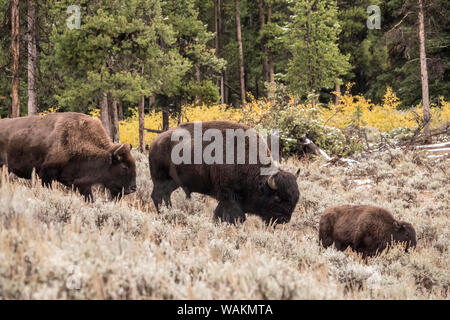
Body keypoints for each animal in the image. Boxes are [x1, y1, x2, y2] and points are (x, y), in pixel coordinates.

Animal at [149, 120, 300, 225]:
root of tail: (155, 142)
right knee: (158, 196)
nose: (284, 220)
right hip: (160, 179)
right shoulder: (228, 195)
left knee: (165, 196)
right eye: (277, 197)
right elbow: (234, 216)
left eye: (295, 199)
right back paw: (164, 213)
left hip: (173, 182)